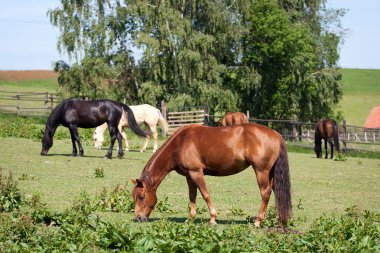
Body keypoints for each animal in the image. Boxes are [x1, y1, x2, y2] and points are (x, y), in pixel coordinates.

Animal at [130, 124, 290, 227]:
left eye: (142, 196)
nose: (138, 218)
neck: (180, 143)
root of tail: (276, 134)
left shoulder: (196, 173)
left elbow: (205, 194)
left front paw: (213, 219)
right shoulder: (189, 176)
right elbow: (192, 197)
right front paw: (191, 218)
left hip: (261, 171)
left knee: (265, 192)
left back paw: (258, 221)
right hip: (270, 173)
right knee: (276, 191)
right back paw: (280, 220)